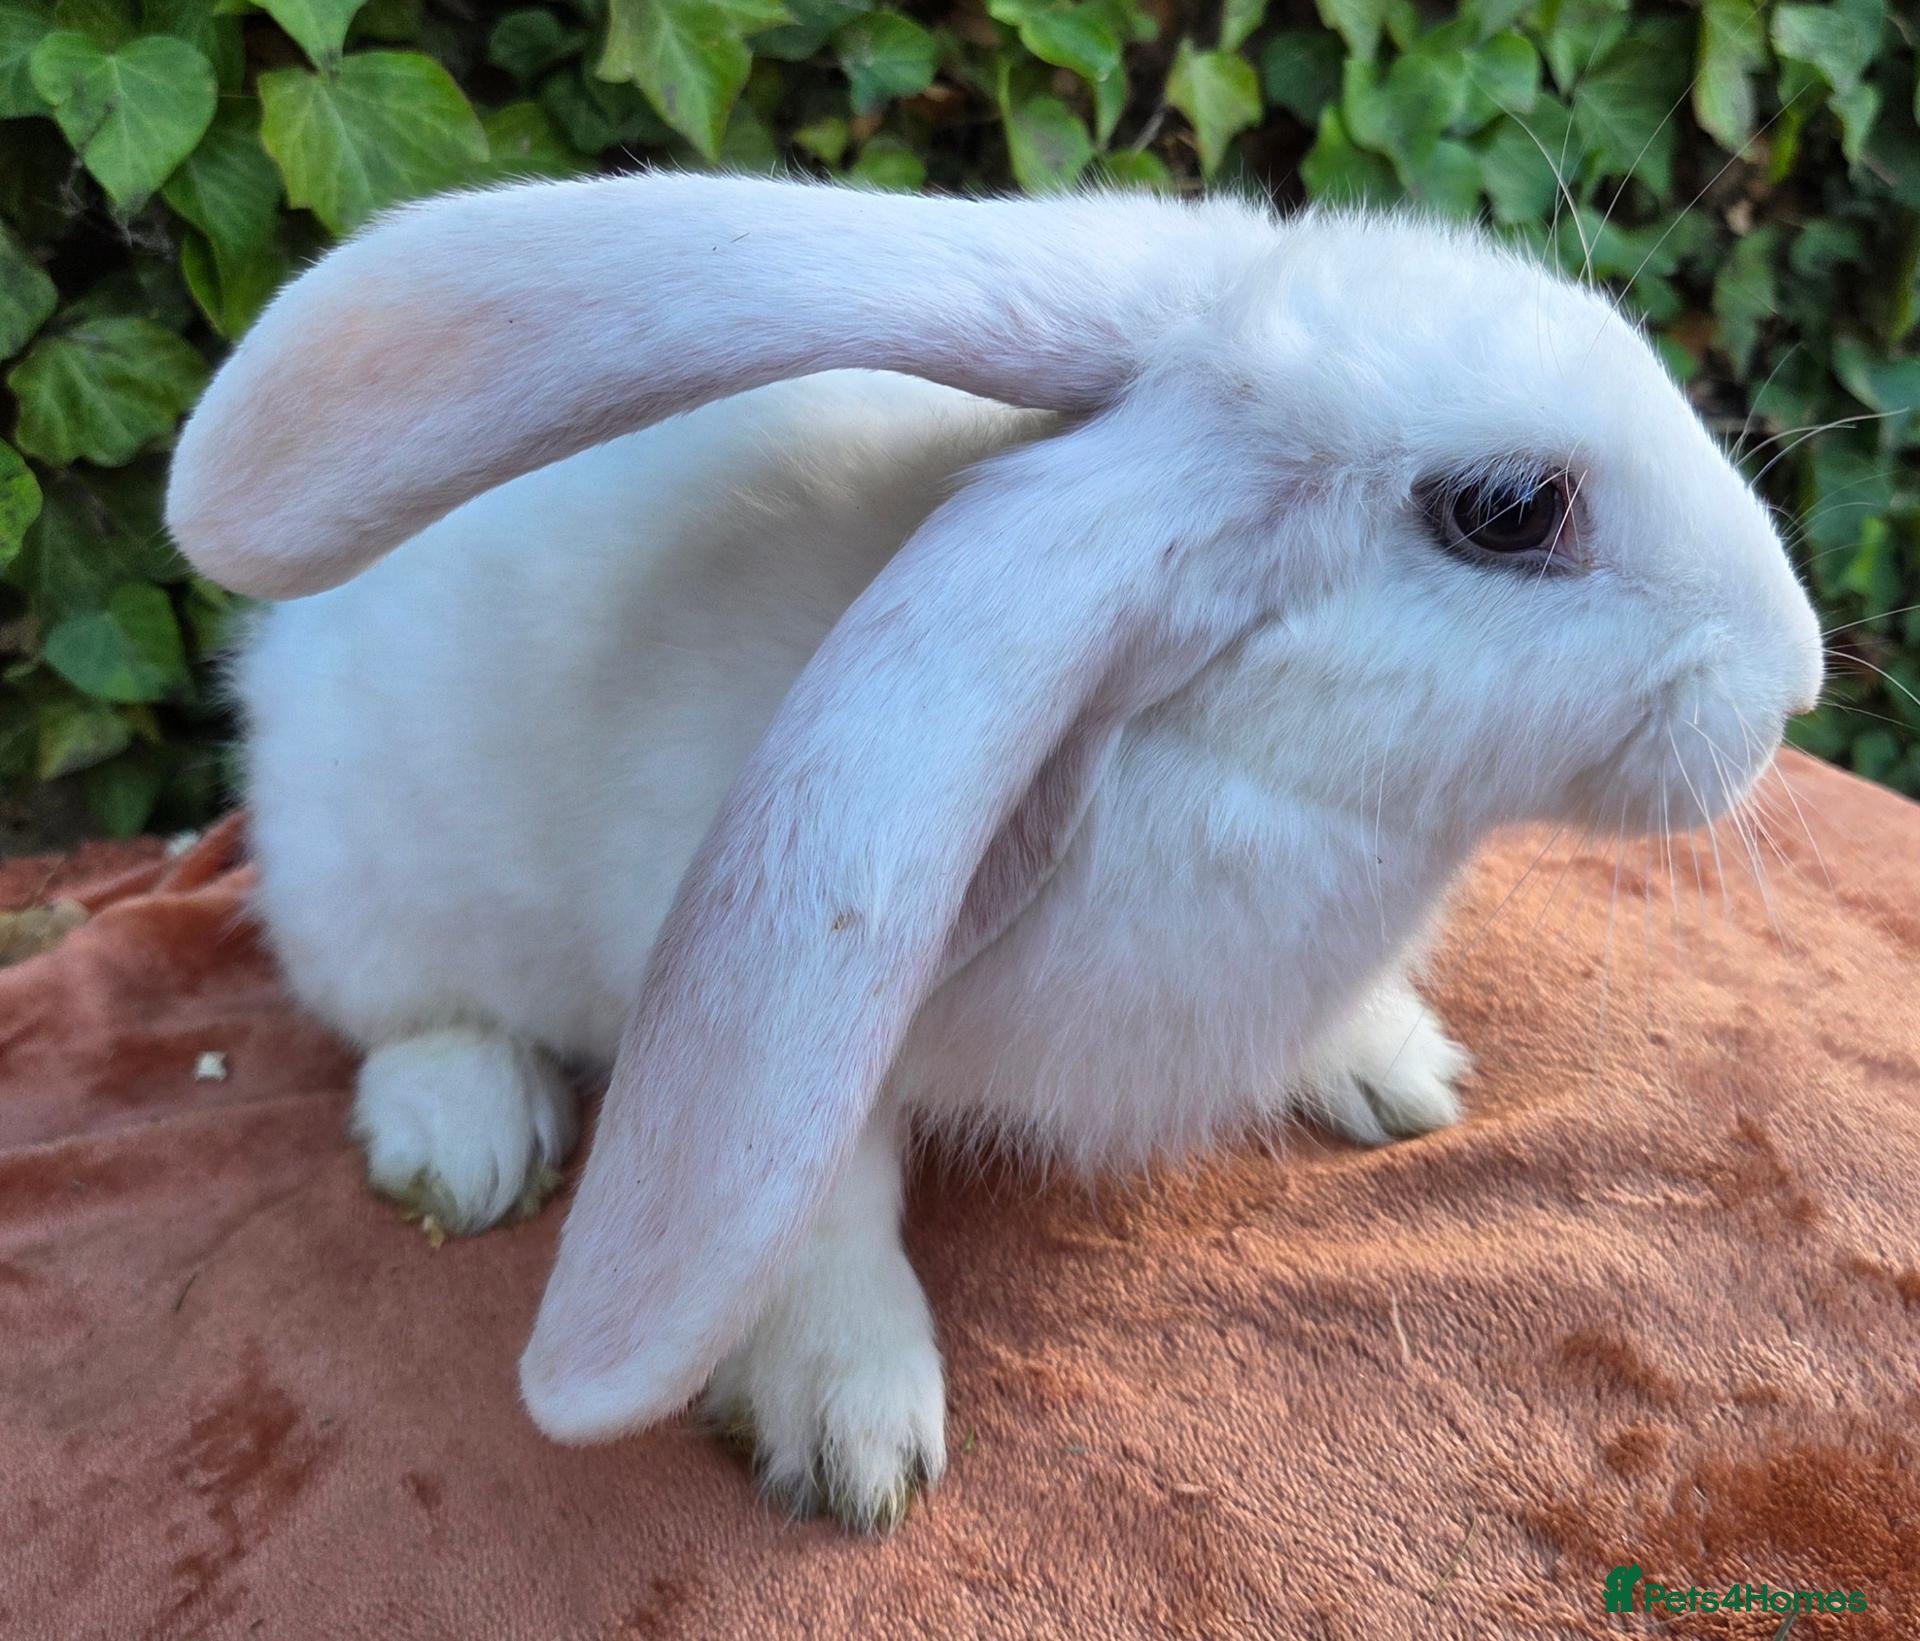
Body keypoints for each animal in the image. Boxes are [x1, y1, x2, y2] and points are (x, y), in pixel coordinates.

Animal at [165, 173, 1824, 1532]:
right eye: (1510, 508)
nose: (1798, 676)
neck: (1209, 749)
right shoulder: (761, 1017)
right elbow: (816, 1221)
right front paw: (853, 1436)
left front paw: (1395, 1066)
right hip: (368, 889)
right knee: (403, 1018)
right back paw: (467, 1138)